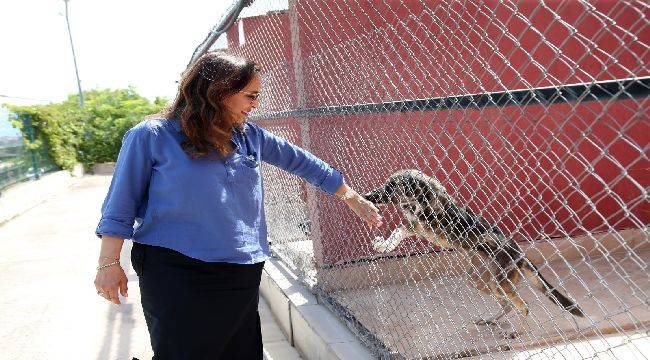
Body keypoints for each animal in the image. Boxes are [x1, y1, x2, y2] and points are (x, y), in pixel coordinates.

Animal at [364, 169, 584, 338]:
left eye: (390, 187)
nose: (367, 196)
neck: (423, 199)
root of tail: (520, 254)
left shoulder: (419, 226)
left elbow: (400, 229)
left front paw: (383, 244)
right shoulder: (414, 225)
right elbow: (398, 231)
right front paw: (382, 245)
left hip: (499, 283)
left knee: (524, 305)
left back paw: (516, 332)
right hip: (480, 280)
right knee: (507, 305)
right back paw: (490, 320)